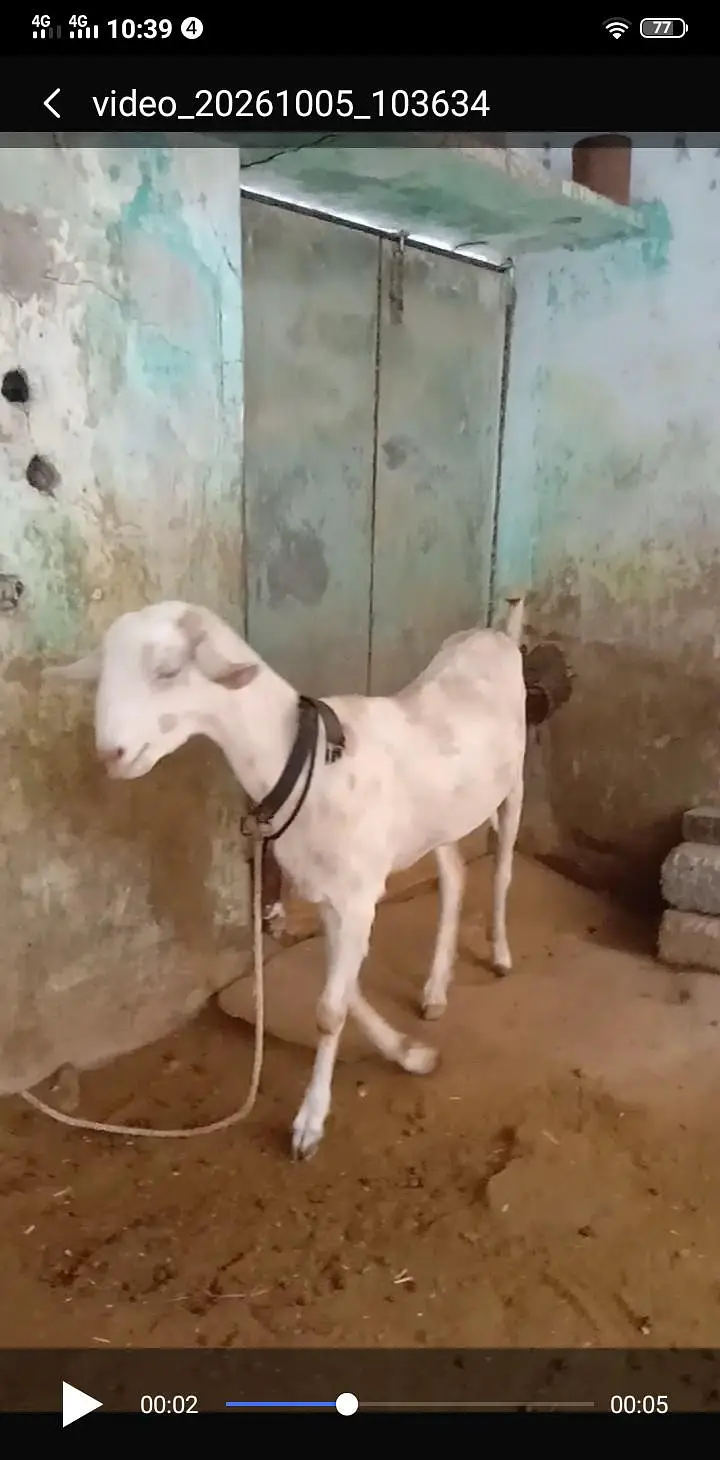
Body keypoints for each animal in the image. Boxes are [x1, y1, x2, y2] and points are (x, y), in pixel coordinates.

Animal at [43, 596, 527, 1159]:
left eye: (167, 670)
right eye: (101, 674)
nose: (111, 754)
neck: (307, 764)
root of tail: (496, 633)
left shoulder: (359, 895)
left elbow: (330, 1010)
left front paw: (309, 1123)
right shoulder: (327, 895)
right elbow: (343, 990)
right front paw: (409, 1053)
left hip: (514, 783)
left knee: (503, 868)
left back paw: (499, 953)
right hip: (440, 818)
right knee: (454, 876)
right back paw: (434, 991)